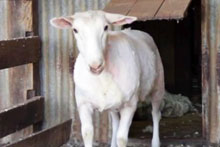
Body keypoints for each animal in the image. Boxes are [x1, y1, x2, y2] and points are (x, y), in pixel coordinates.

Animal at [50, 10, 164, 147]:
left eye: (105, 27)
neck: (101, 78)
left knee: (156, 114)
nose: (95, 65)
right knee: (115, 121)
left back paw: (156, 142)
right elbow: (87, 133)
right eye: (75, 30)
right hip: (113, 103)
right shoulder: (83, 103)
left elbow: (122, 138)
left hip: (158, 86)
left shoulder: (130, 105)